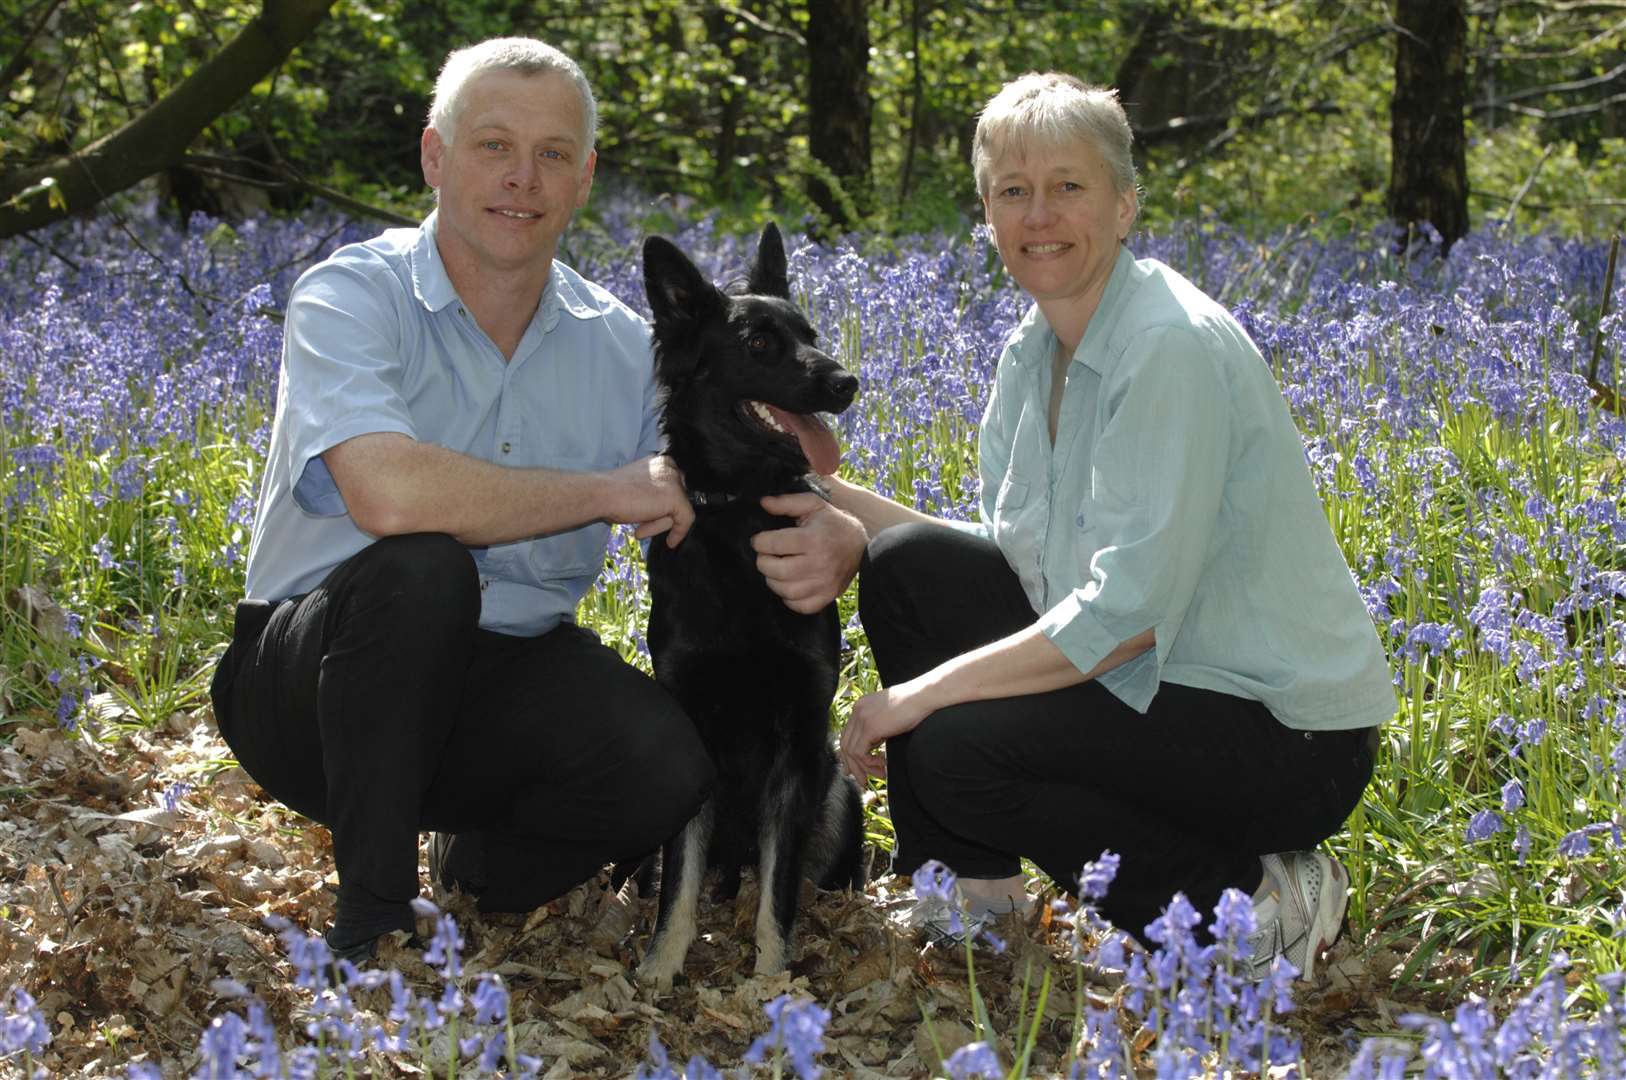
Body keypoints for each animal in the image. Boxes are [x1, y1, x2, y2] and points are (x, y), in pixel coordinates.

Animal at [630, 221, 865, 988]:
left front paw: (770, 980)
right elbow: (678, 881)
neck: (740, 512)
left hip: (837, 788)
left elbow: (780, 887)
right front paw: (659, 968)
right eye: (759, 344)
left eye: (811, 332)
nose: (848, 382)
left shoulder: (798, 735)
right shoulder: (691, 726)